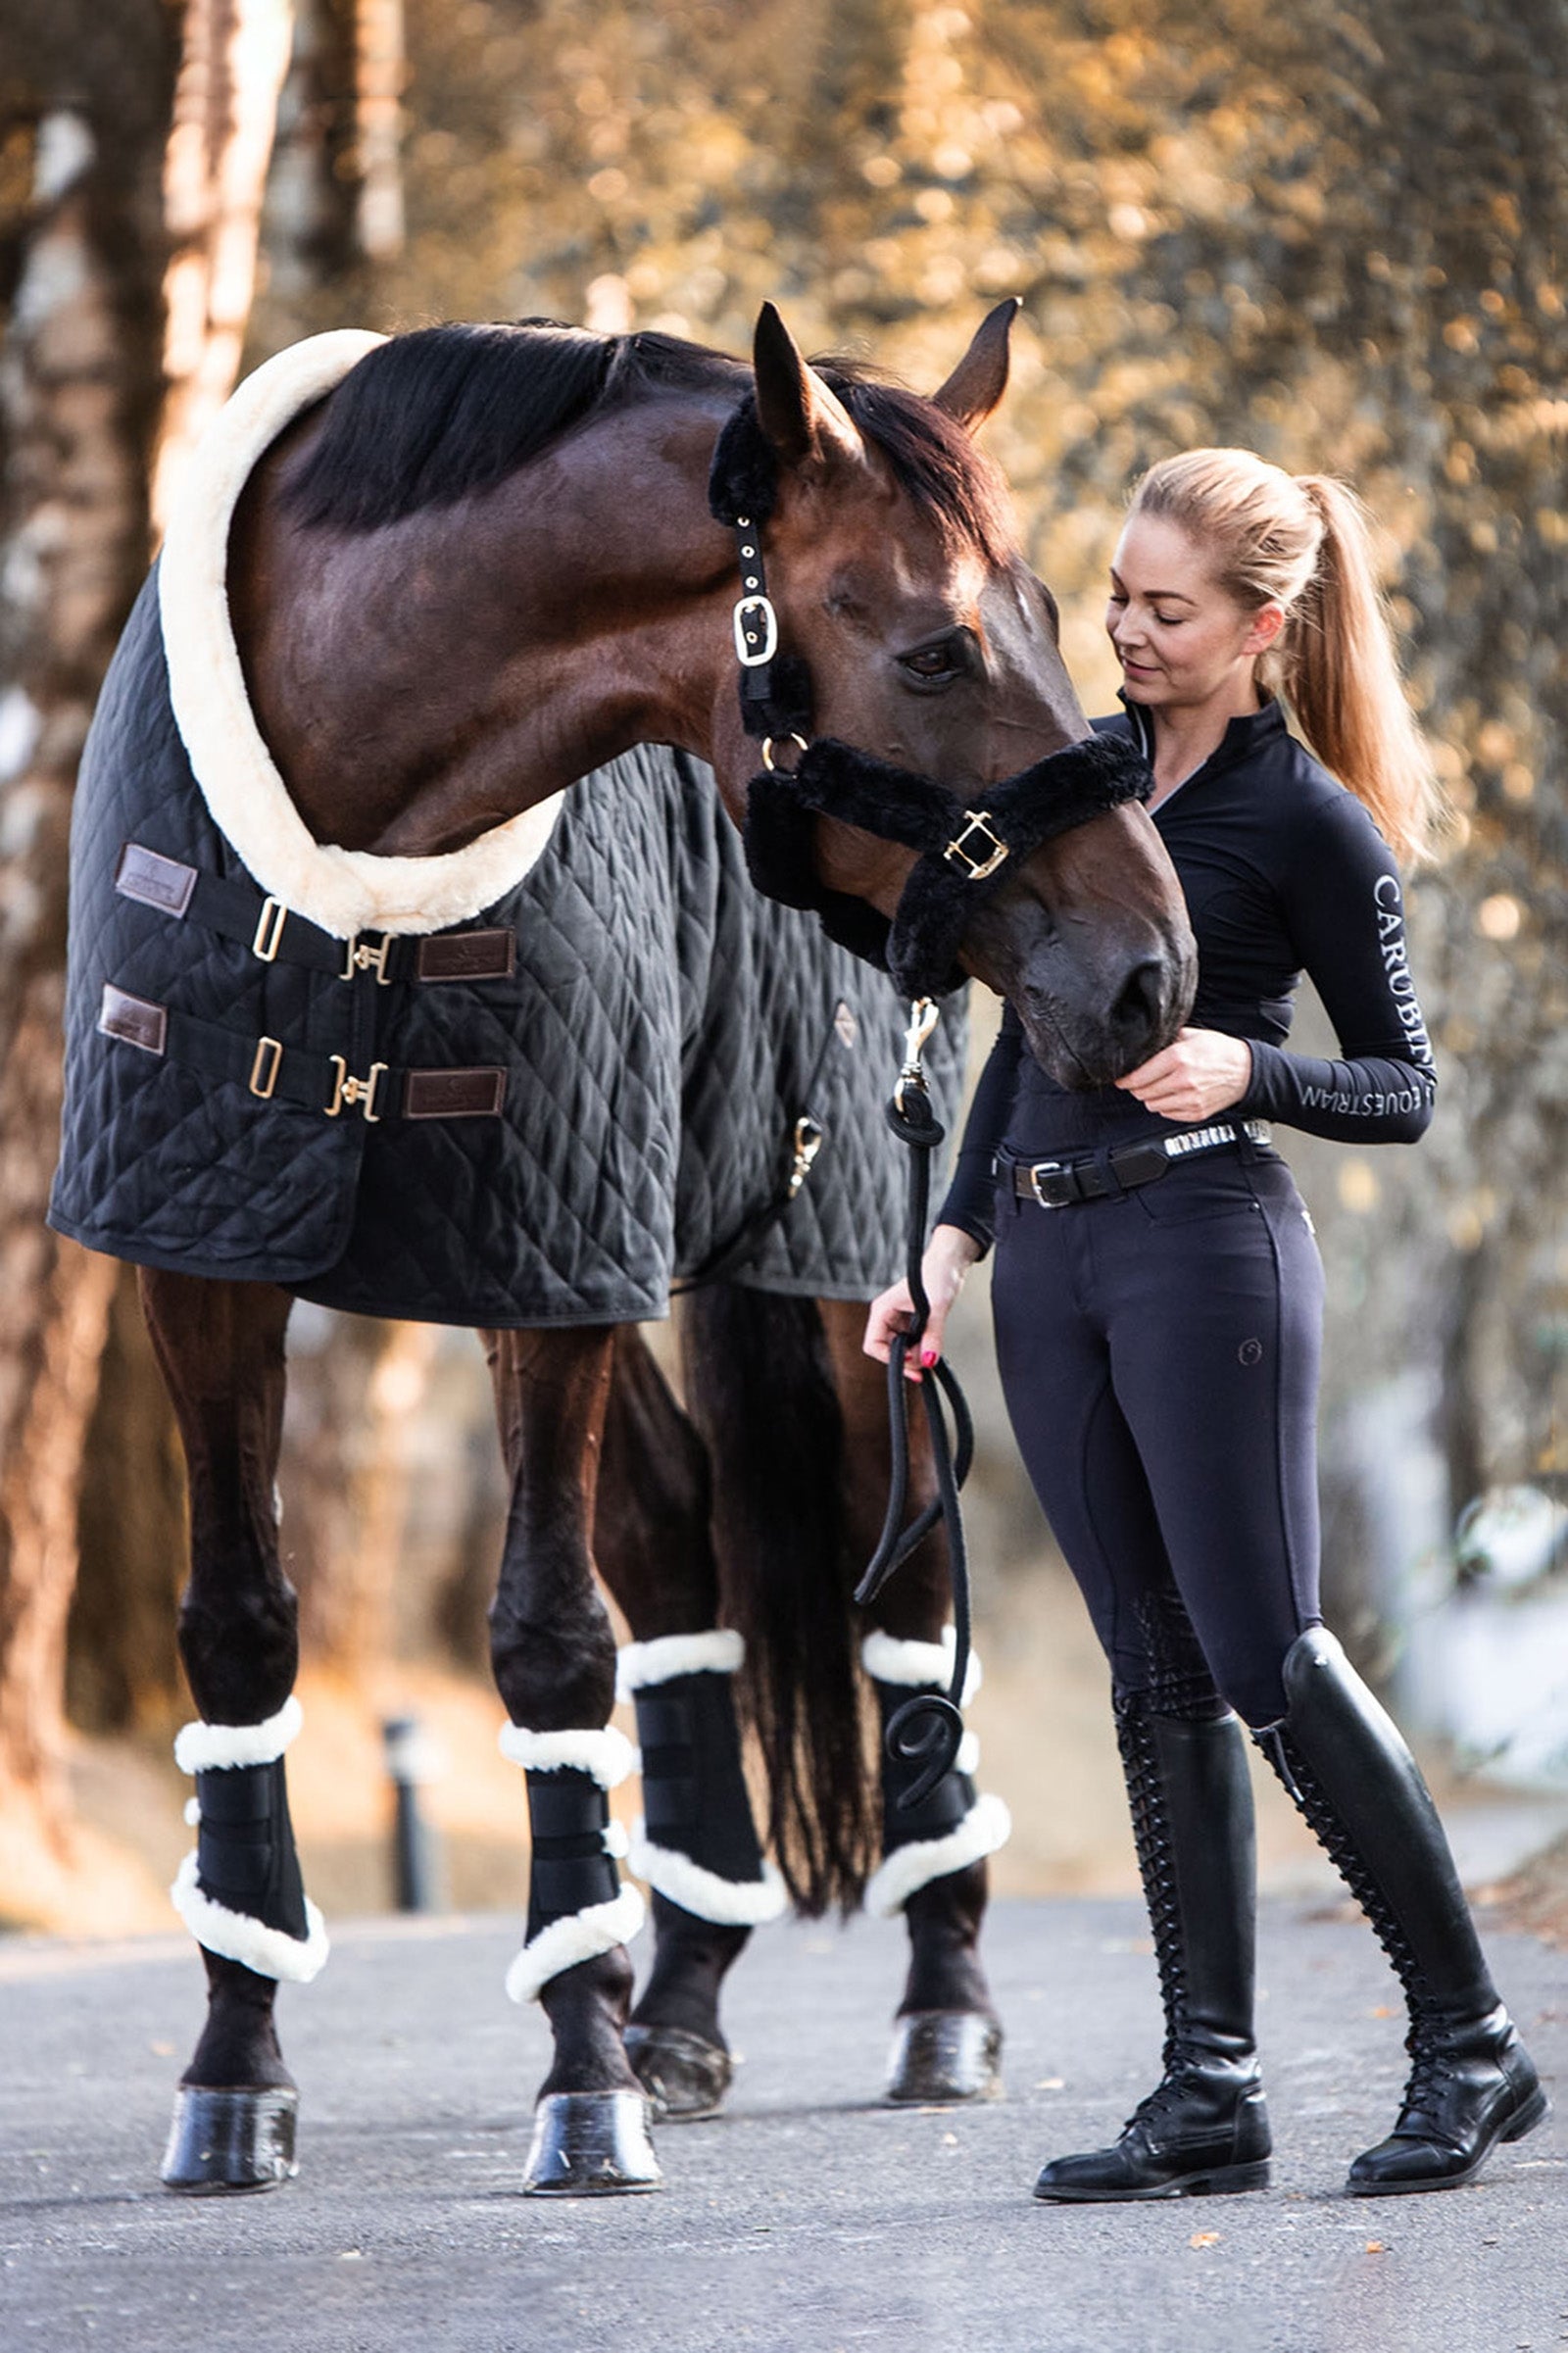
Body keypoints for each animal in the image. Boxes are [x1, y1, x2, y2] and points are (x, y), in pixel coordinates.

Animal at [49, 299, 1195, 2196]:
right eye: (940, 650)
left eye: (1060, 615)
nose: (1152, 976)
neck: (359, 834)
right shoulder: (204, 1260)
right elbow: (242, 1630)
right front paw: (233, 2069)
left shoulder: (552, 1267)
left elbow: (549, 1642)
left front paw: (581, 2083)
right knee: (677, 1542)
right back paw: (687, 1991)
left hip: (832, 1270)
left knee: (897, 1569)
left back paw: (936, 1999)